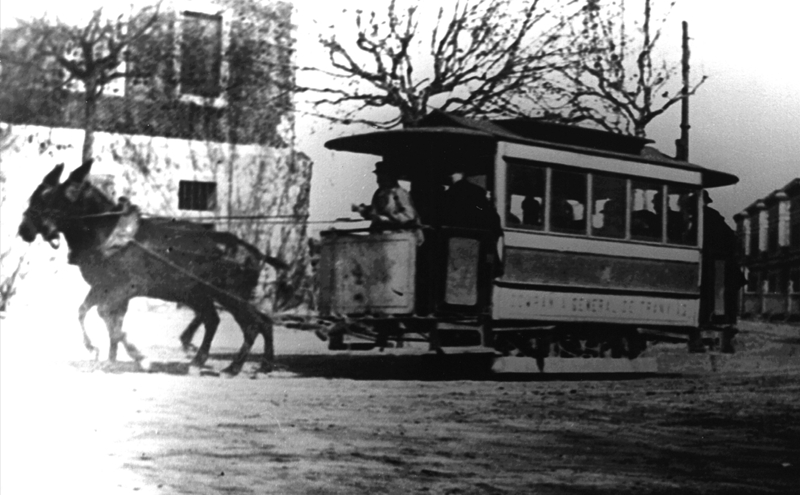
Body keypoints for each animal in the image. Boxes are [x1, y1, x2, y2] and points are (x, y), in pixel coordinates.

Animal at [17, 162, 288, 376]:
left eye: (53, 198)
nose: (24, 230)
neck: (108, 232)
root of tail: (257, 253)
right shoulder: (103, 287)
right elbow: (89, 314)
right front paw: (104, 356)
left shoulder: (124, 288)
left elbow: (108, 317)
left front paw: (139, 358)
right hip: (201, 295)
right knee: (230, 321)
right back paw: (244, 364)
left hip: (230, 295)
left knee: (252, 325)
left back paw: (233, 367)